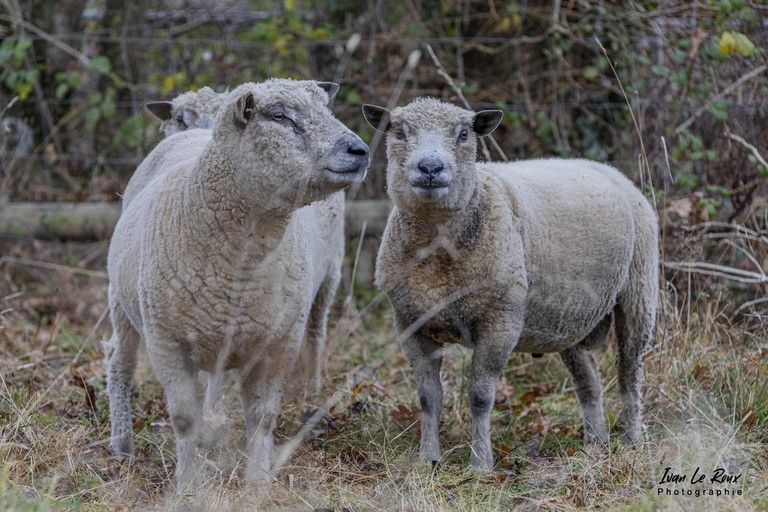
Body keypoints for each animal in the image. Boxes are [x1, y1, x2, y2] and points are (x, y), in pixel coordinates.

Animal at [106, 78, 369, 490]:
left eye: (327, 109)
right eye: (278, 116)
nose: (360, 150)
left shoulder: (278, 341)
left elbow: (262, 416)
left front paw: (257, 482)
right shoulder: (167, 341)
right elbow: (184, 418)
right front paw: (188, 485)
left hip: (324, 282)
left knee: (315, 333)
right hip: (122, 301)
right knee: (120, 364)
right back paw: (122, 445)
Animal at [363, 98, 658, 471]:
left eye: (464, 134)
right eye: (399, 131)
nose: (430, 167)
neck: (440, 256)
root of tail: (610, 171)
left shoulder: (500, 319)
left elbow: (480, 396)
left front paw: (479, 464)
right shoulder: (410, 322)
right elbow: (428, 397)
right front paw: (428, 458)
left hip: (639, 291)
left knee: (629, 373)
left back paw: (632, 440)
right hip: (571, 316)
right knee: (588, 380)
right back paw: (594, 443)